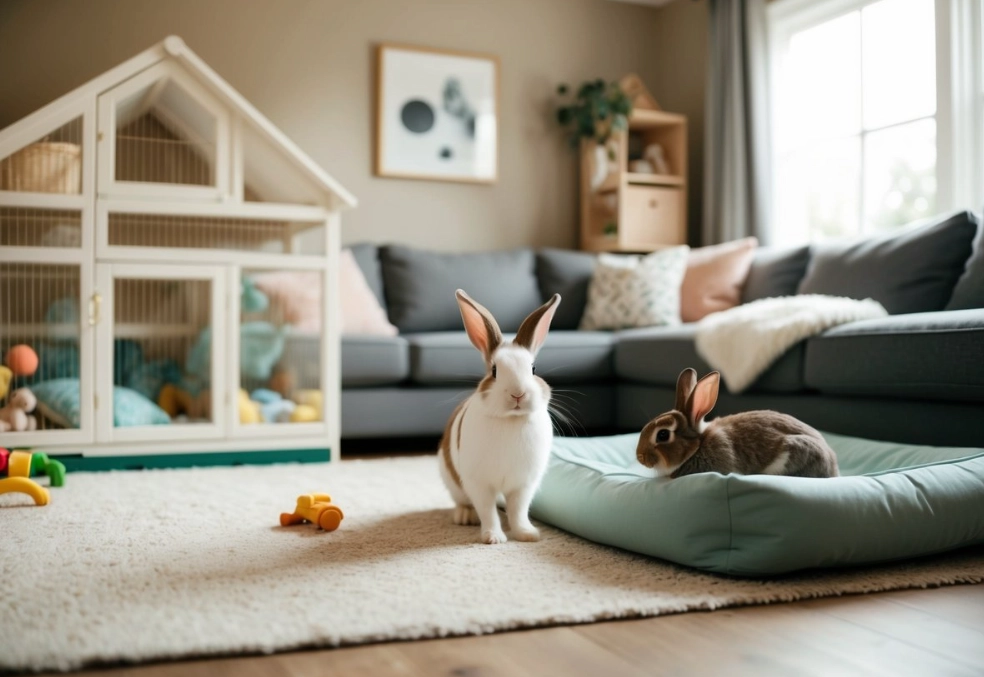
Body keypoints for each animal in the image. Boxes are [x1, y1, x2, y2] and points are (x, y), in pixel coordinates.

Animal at [438, 289, 562, 545]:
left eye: (533, 369)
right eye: (494, 371)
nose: (518, 394)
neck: (510, 420)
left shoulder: (523, 485)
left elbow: (518, 511)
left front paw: (527, 534)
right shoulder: (479, 484)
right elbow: (487, 511)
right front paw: (493, 538)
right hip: (453, 483)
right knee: (465, 502)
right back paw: (464, 516)